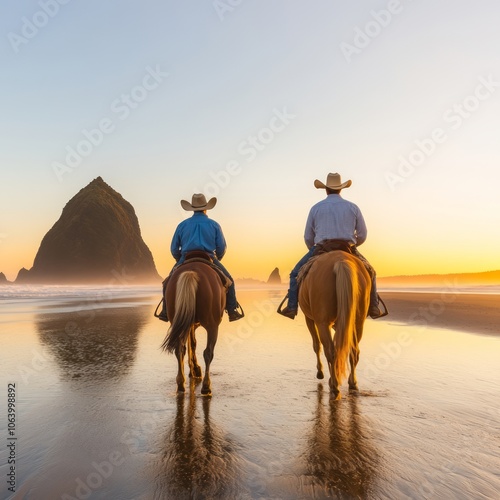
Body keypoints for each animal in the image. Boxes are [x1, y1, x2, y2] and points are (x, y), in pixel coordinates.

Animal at [161, 262, 226, 394]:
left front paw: (193, 369)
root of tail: (191, 272)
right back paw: (206, 386)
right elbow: (193, 344)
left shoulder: (188, 322)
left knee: (179, 349)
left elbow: (192, 344)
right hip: (212, 325)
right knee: (208, 352)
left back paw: (181, 383)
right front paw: (195, 369)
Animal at [296, 252, 372, 400]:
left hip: (322, 323)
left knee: (330, 351)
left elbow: (316, 345)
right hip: (358, 321)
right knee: (353, 351)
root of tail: (341, 261)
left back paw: (334, 387)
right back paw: (352, 383)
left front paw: (320, 372)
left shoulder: (310, 319)